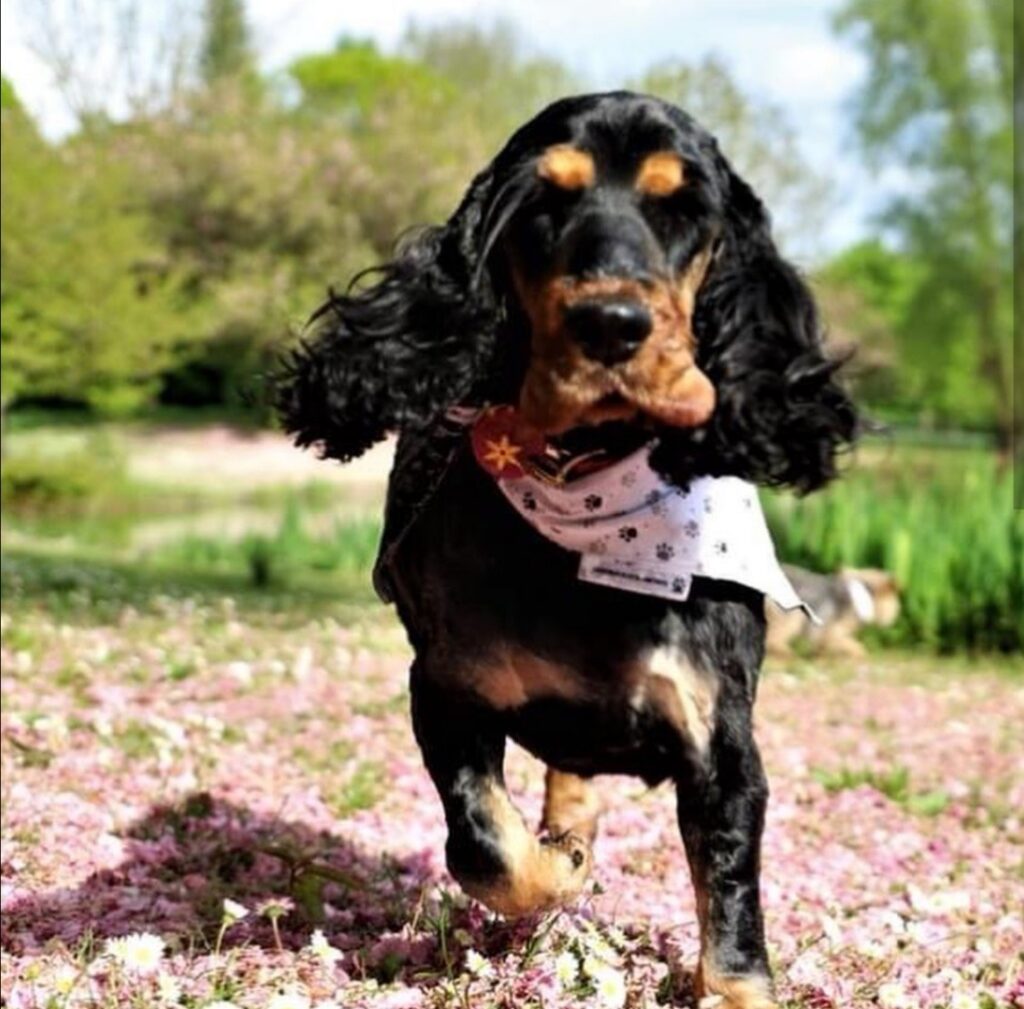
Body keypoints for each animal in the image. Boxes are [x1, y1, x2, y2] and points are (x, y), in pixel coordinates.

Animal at [278, 90, 856, 1003]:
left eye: (681, 208)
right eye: (544, 203)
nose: (611, 324)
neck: (589, 487)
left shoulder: (721, 738)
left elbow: (732, 904)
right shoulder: (444, 687)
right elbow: (489, 847)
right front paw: (560, 865)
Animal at [765, 565, 901, 659]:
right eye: (895, 604)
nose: (893, 621)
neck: (866, 595)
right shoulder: (833, 632)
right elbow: (854, 646)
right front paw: (861, 654)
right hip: (792, 616)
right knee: (773, 639)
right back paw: (788, 654)